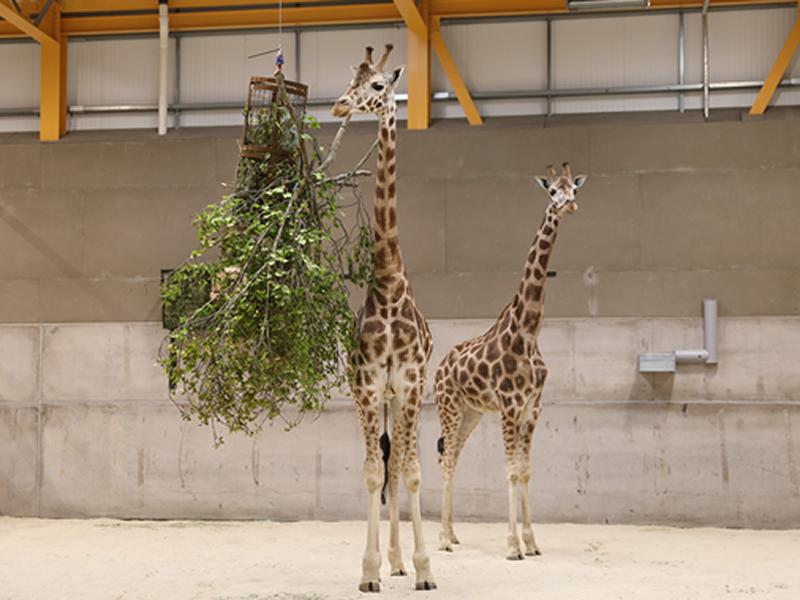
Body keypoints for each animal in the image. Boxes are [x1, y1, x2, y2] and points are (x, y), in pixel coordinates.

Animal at [434, 162, 584, 560]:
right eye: (552, 191)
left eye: (575, 190)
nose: (569, 206)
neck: (529, 331)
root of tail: (439, 367)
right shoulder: (509, 406)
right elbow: (510, 470)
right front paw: (513, 545)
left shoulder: (533, 407)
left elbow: (525, 470)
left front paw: (532, 543)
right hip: (448, 406)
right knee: (445, 458)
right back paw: (441, 539)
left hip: (470, 412)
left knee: (453, 456)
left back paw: (452, 533)